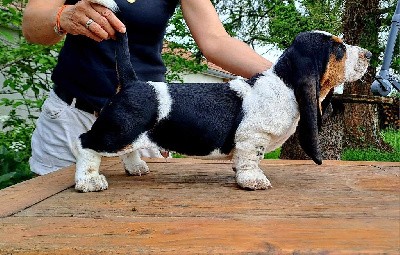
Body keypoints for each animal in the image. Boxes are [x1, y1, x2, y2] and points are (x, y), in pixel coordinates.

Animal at [72, 0, 372, 192]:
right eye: (339, 50)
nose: (369, 54)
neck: (284, 85)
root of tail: (133, 83)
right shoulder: (253, 138)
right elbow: (251, 159)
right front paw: (253, 181)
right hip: (118, 130)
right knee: (86, 143)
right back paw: (89, 181)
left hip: (129, 133)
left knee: (127, 150)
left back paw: (136, 167)